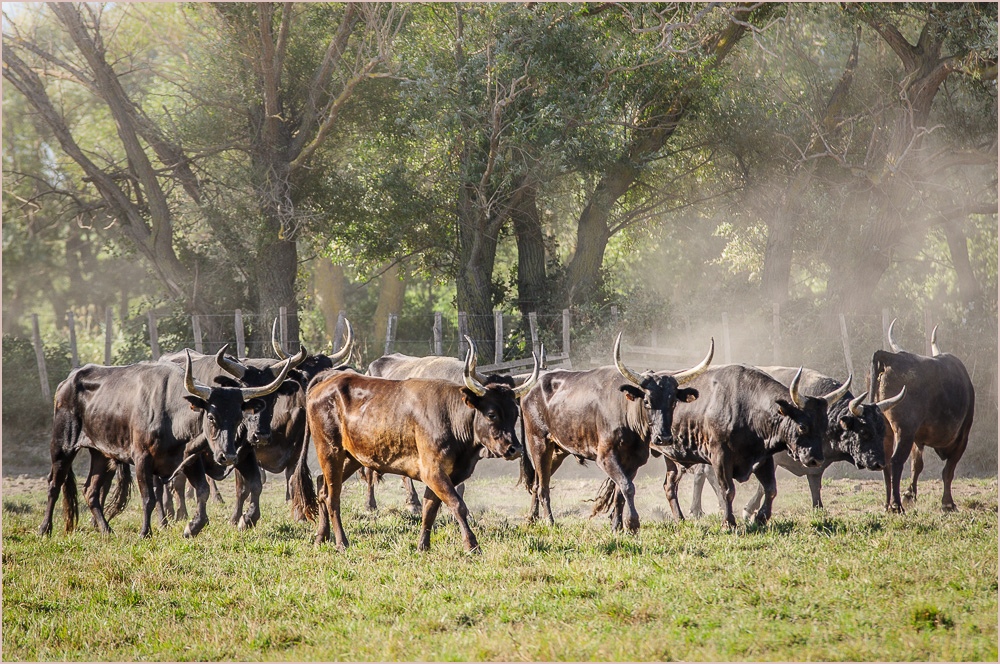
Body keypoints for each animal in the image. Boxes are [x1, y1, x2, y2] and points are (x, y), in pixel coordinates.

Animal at [656, 364, 844, 528]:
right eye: (803, 426)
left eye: (824, 427)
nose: (816, 460)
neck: (746, 408)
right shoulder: (720, 457)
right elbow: (728, 490)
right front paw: (729, 523)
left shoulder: (764, 458)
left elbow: (771, 489)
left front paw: (760, 518)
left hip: (673, 460)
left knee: (669, 486)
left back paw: (679, 518)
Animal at [688, 368, 908, 520]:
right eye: (864, 431)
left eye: (882, 431)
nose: (879, 463)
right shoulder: (771, 458)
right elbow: (763, 487)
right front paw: (749, 510)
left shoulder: (816, 461)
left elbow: (815, 484)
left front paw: (818, 508)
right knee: (704, 473)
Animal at [880, 320, 972, 510]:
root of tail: (890, 358)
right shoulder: (962, 437)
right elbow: (948, 471)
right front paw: (948, 502)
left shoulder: (918, 439)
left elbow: (917, 465)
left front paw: (909, 494)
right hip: (903, 431)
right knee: (895, 461)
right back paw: (896, 506)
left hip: (887, 429)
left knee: (885, 461)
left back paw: (887, 504)